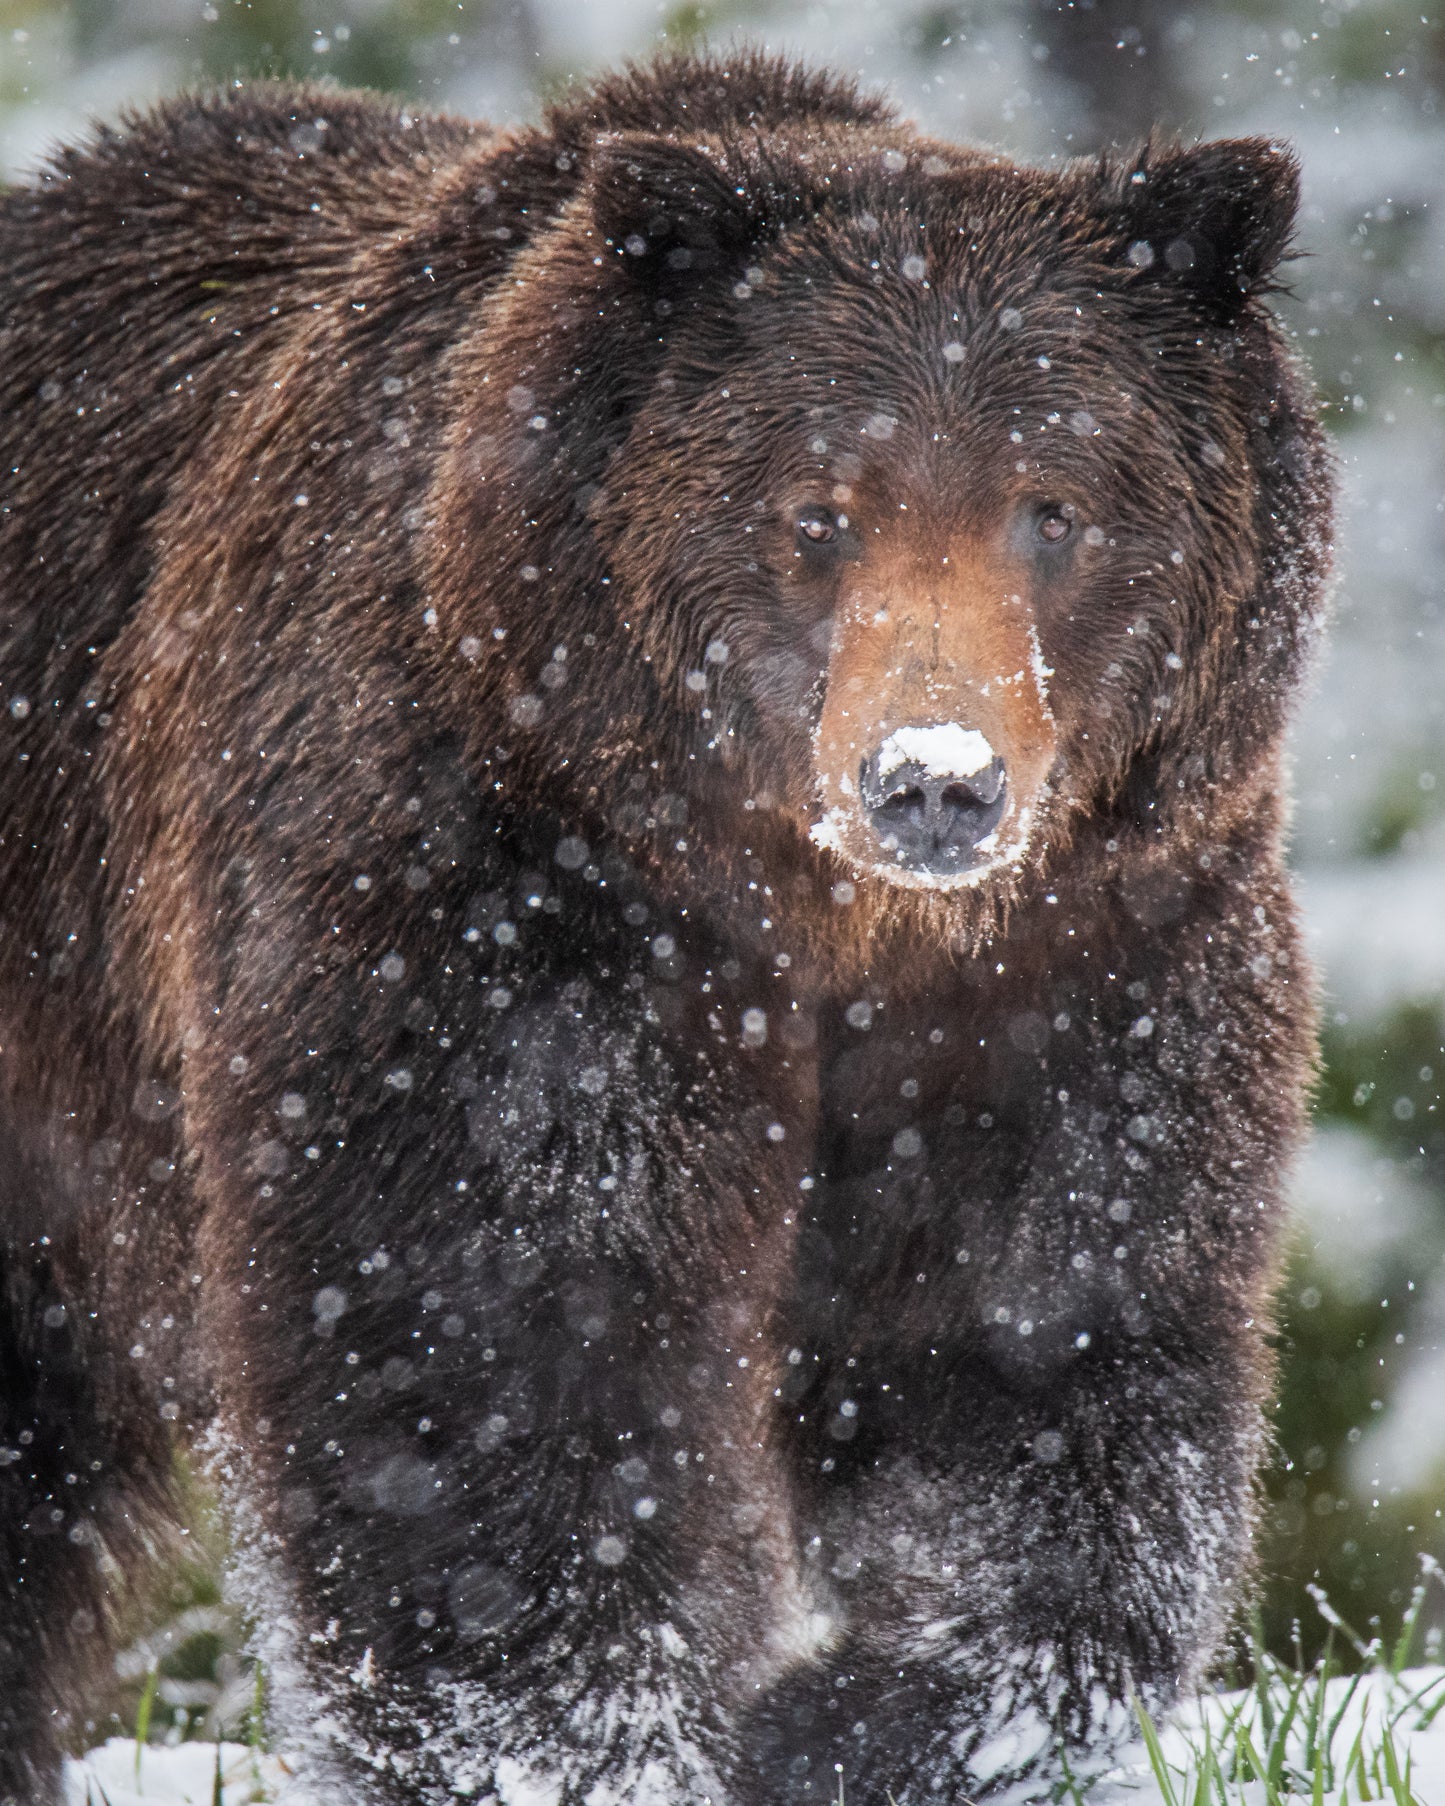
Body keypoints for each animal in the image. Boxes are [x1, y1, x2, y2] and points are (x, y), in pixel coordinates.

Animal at [0, 49, 1329, 1806]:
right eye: (820, 508)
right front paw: (581, 1749)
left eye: (1053, 506)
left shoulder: (1083, 963)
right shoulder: (510, 910)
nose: (933, 781)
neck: (814, 916)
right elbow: (499, 1352)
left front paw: (848, 1721)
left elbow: (1032, 1348)